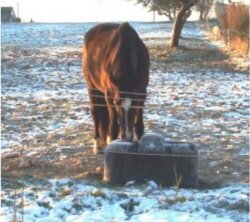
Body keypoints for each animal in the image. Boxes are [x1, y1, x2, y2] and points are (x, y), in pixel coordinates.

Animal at [82, 22, 149, 154]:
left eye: (134, 105)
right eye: (117, 104)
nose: (126, 137)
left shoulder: (142, 92)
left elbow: (139, 125)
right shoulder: (109, 95)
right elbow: (113, 127)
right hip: (92, 88)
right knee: (96, 113)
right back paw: (97, 145)